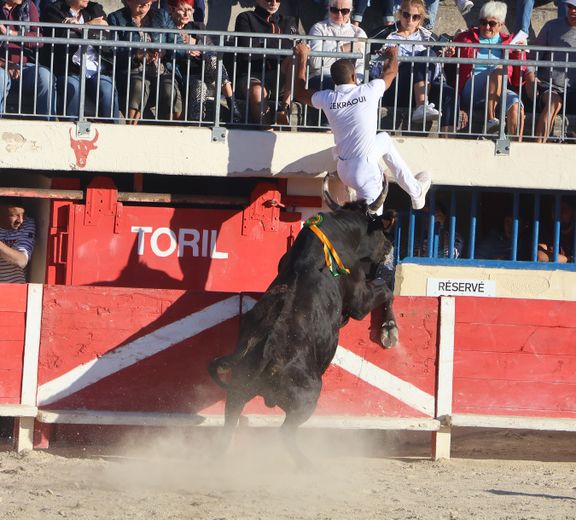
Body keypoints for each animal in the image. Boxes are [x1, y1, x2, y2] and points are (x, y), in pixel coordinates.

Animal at [209, 202, 398, 464]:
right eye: (379, 228)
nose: (390, 246)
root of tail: (266, 356)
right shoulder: (361, 299)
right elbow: (386, 291)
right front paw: (389, 330)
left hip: (237, 391)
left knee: (229, 426)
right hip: (308, 397)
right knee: (285, 433)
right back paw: (307, 464)